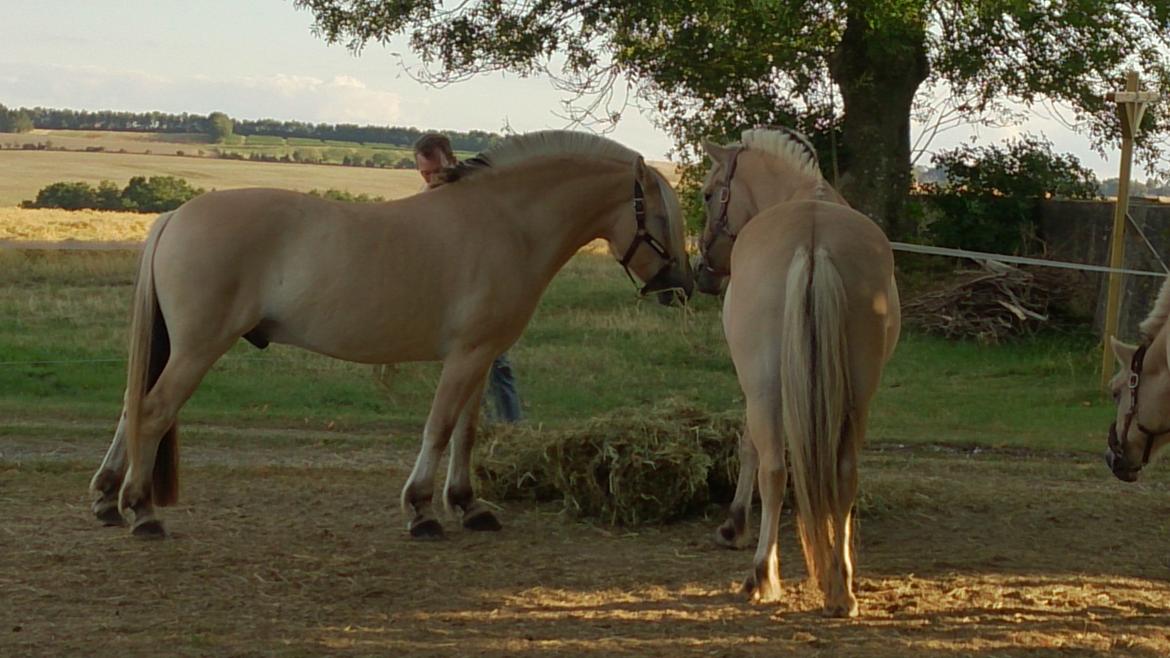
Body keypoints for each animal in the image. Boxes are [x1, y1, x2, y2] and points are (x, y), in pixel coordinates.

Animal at [93, 129, 692, 538]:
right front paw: (422, 508)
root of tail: (175, 216)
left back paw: (106, 498)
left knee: (130, 407)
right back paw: (141, 511)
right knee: (153, 410)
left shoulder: (482, 356)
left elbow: (467, 433)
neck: (505, 223)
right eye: (662, 218)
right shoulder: (466, 356)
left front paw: (468, 505)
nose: (684, 286)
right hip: (198, 348)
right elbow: (439, 428)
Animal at [692, 127, 903, 613]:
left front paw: (732, 526)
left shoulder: (755, 386)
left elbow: (748, 447)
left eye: (710, 194)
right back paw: (840, 588)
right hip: (857, 396)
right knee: (844, 474)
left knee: (774, 469)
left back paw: (761, 577)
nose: (704, 272)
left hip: (766, 388)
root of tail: (813, 241)